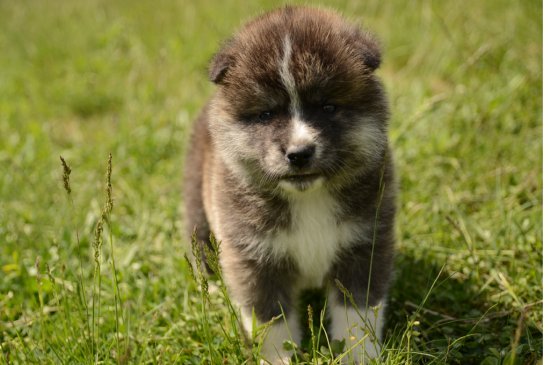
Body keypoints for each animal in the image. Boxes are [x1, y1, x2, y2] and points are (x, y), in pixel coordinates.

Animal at [185, 6, 396, 364]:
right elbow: (271, 320)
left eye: (328, 106)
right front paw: (278, 358)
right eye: (266, 114)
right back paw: (211, 291)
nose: (299, 153)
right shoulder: (255, 258)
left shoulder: (365, 245)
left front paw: (359, 355)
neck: (308, 199)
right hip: (197, 208)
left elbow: (357, 313)